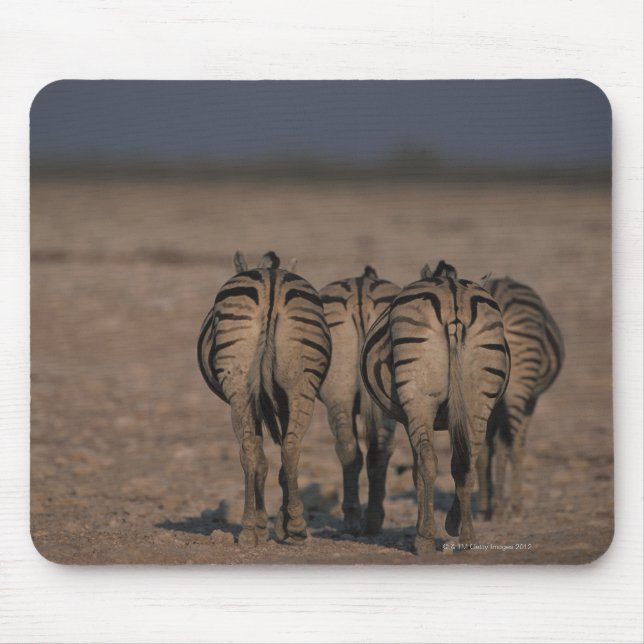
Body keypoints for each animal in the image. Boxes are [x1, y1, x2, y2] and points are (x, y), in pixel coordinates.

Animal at [197, 251, 331, 547]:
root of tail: (271, 282)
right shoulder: (269, 399)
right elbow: (268, 458)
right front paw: (273, 523)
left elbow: (262, 458)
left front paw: (265, 524)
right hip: (297, 385)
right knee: (288, 447)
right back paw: (291, 525)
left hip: (243, 387)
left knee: (254, 449)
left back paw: (258, 528)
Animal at [318, 266, 401, 535]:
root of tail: (360, 293)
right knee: (379, 450)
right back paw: (371, 521)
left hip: (339, 397)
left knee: (348, 447)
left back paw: (353, 519)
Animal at [360, 261, 510, 554]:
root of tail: (453, 298)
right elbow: (456, 463)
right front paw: (453, 523)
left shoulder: (407, 418)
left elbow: (417, 472)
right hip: (478, 399)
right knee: (467, 462)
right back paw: (467, 537)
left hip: (418, 397)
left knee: (429, 460)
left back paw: (425, 538)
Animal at [476, 277, 564, 520]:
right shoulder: (531, 402)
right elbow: (518, 447)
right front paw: (515, 504)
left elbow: (487, 447)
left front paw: (486, 505)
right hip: (520, 385)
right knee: (506, 443)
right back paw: (502, 508)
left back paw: (486, 508)